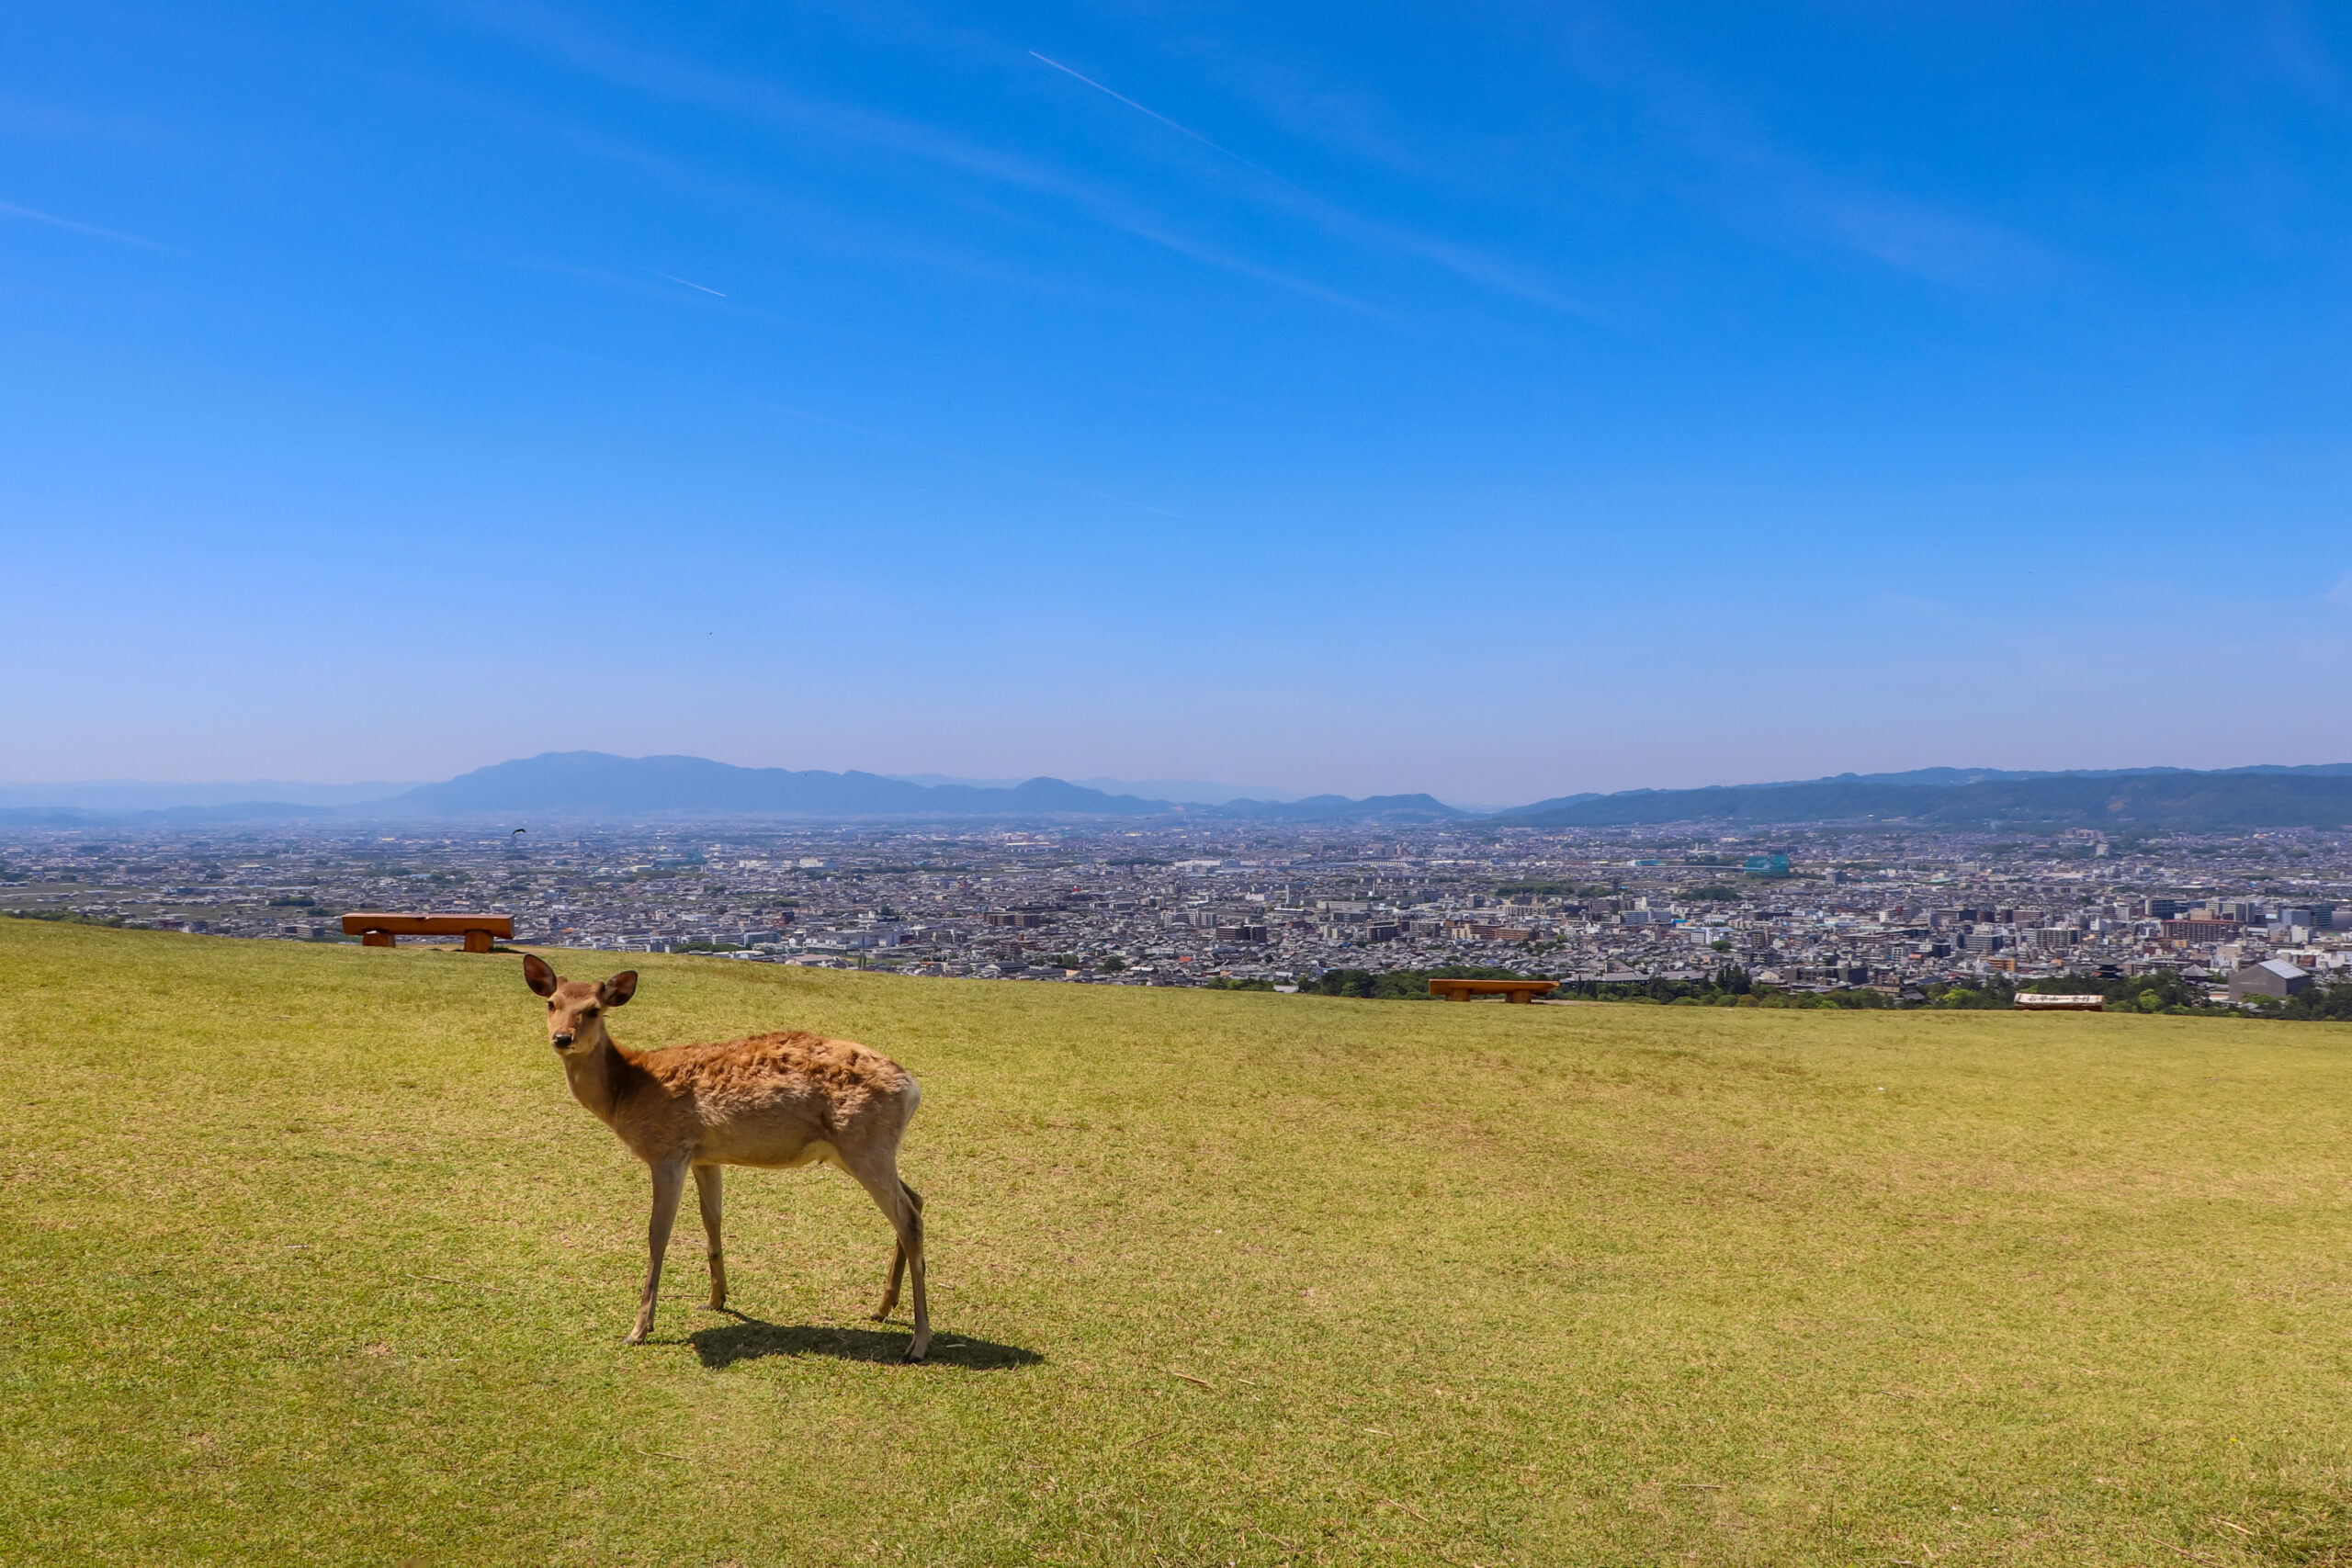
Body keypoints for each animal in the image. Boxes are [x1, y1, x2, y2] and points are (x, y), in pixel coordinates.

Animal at [521, 953, 930, 1359]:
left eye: (594, 1009)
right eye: (551, 1003)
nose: (562, 1038)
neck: (629, 1090)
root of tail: (912, 1088)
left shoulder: (668, 1150)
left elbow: (658, 1232)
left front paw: (639, 1329)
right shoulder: (704, 1155)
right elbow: (711, 1218)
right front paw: (716, 1299)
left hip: (865, 1144)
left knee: (908, 1219)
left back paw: (919, 1342)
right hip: (861, 1150)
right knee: (916, 1199)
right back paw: (883, 1307)